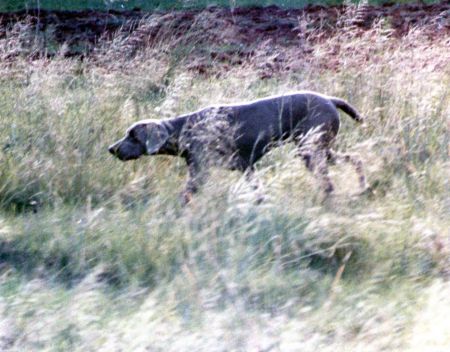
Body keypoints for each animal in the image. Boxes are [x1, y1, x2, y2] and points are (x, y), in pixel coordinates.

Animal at [109, 91, 366, 202]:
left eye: (132, 136)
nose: (111, 149)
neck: (184, 129)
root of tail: (330, 99)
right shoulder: (246, 169)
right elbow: (258, 192)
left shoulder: (200, 173)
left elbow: (185, 195)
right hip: (320, 149)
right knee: (355, 159)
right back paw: (361, 187)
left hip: (310, 150)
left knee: (328, 182)